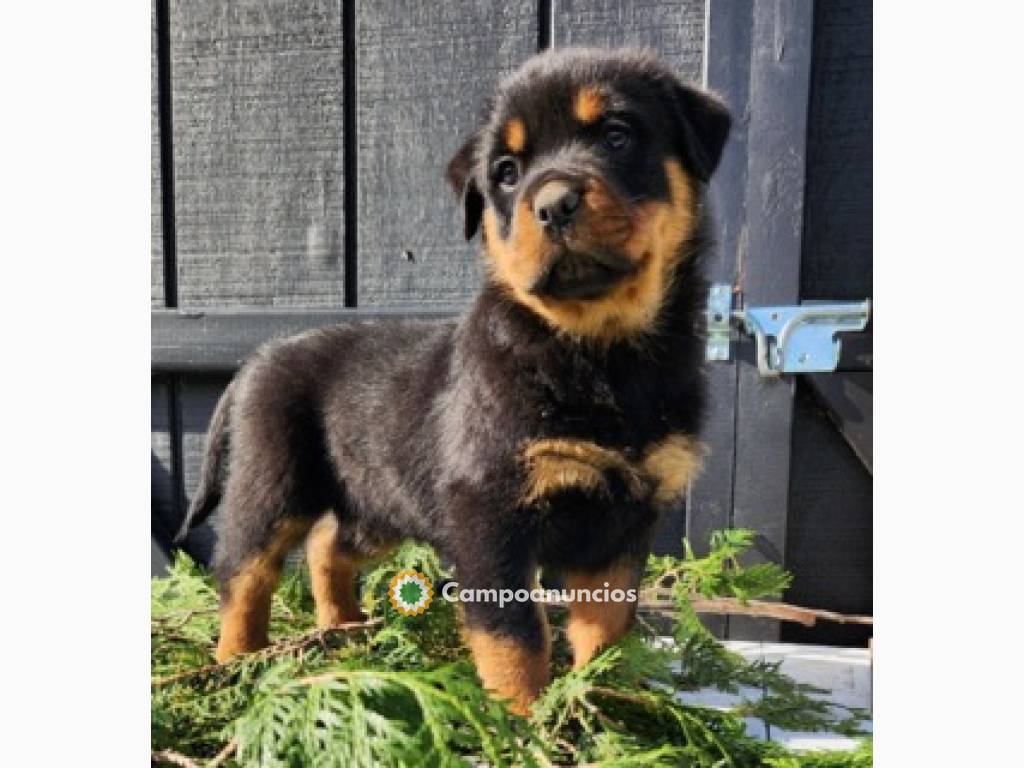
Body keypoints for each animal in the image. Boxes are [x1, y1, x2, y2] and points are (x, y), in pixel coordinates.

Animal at [174, 46, 729, 716]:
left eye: (617, 136)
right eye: (507, 173)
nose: (554, 204)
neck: (598, 349)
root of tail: (261, 354)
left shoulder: (624, 525)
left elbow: (606, 630)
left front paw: (606, 703)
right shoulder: (488, 512)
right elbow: (515, 637)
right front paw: (522, 717)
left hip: (381, 497)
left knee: (328, 543)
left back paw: (345, 630)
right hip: (271, 481)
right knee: (243, 570)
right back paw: (234, 665)